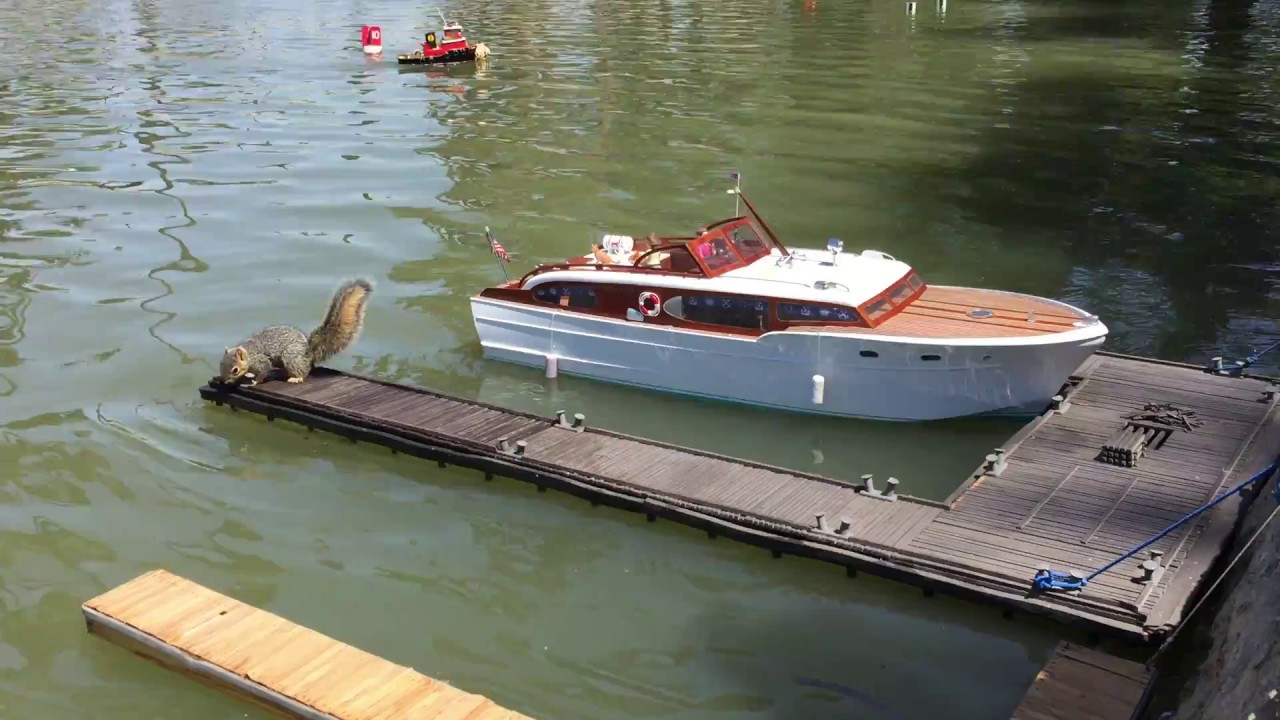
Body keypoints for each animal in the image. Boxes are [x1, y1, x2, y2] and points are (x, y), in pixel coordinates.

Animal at [217, 278, 373, 386]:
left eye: (235, 370)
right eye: (221, 365)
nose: (225, 382)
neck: (249, 353)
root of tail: (309, 352)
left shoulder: (261, 361)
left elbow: (263, 370)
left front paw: (255, 381)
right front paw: (249, 375)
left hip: (291, 356)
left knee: (303, 371)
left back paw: (295, 378)